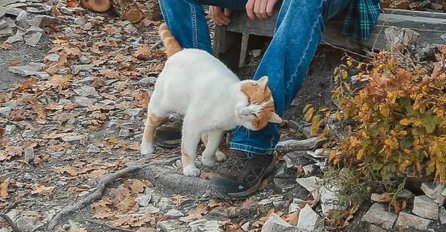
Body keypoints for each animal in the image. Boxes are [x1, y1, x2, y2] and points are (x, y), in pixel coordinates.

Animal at [142, 24, 282, 176]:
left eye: (256, 115)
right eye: (249, 100)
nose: (244, 112)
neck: (228, 109)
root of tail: (181, 51)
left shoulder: (218, 130)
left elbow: (212, 145)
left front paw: (207, 158)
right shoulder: (191, 125)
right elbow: (188, 149)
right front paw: (189, 167)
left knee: (205, 136)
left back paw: (218, 154)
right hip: (161, 107)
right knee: (150, 123)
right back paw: (146, 147)